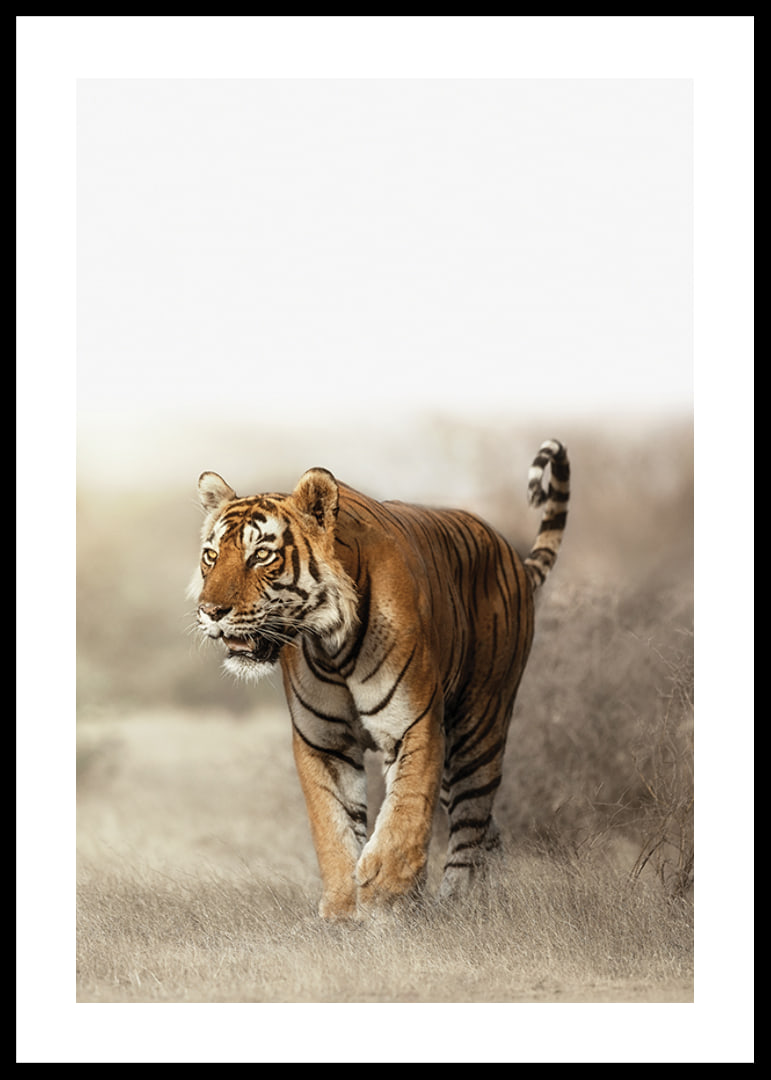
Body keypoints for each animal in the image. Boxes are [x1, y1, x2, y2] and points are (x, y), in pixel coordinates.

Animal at [190, 439, 570, 919]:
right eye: (211, 555)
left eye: (261, 555)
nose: (210, 611)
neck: (330, 644)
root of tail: (513, 558)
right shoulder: (323, 741)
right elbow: (332, 826)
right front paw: (342, 909)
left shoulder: (414, 725)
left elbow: (405, 813)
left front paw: (385, 894)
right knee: (487, 828)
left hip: (478, 728)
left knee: (471, 822)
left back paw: (457, 902)